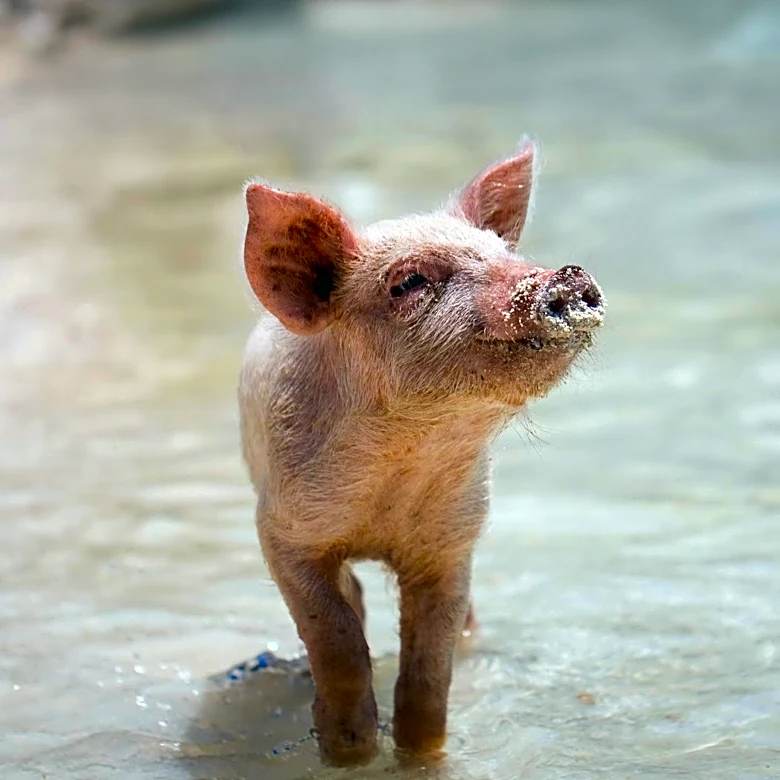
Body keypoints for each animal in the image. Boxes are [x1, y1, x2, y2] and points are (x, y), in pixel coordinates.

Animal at [238, 140, 605, 766]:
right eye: (409, 282)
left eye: (504, 253)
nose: (565, 273)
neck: (401, 468)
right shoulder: (282, 531)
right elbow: (335, 638)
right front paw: (350, 753)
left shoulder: (453, 540)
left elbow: (431, 668)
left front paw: (420, 754)